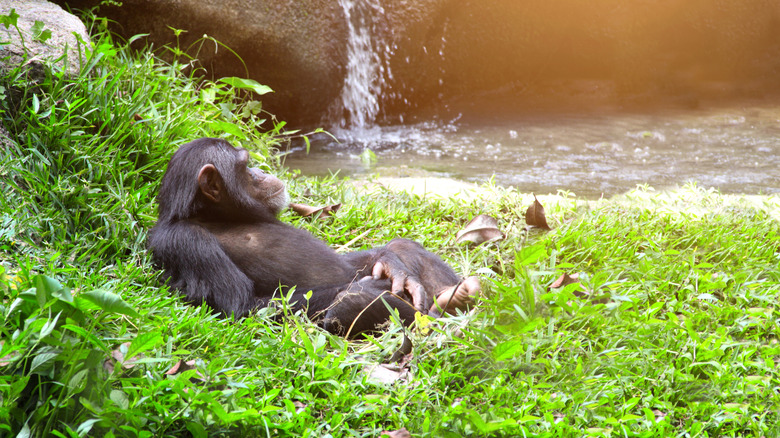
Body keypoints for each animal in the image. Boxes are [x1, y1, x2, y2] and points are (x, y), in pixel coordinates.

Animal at [143, 137, 478, 336]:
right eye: (245, 167)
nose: (261, 171)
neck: (219, 217)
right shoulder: (186, 242)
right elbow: (242, 305)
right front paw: (372, 286)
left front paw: (390, 265)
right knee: (351, 304)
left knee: (404, 245)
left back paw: (455, 295)